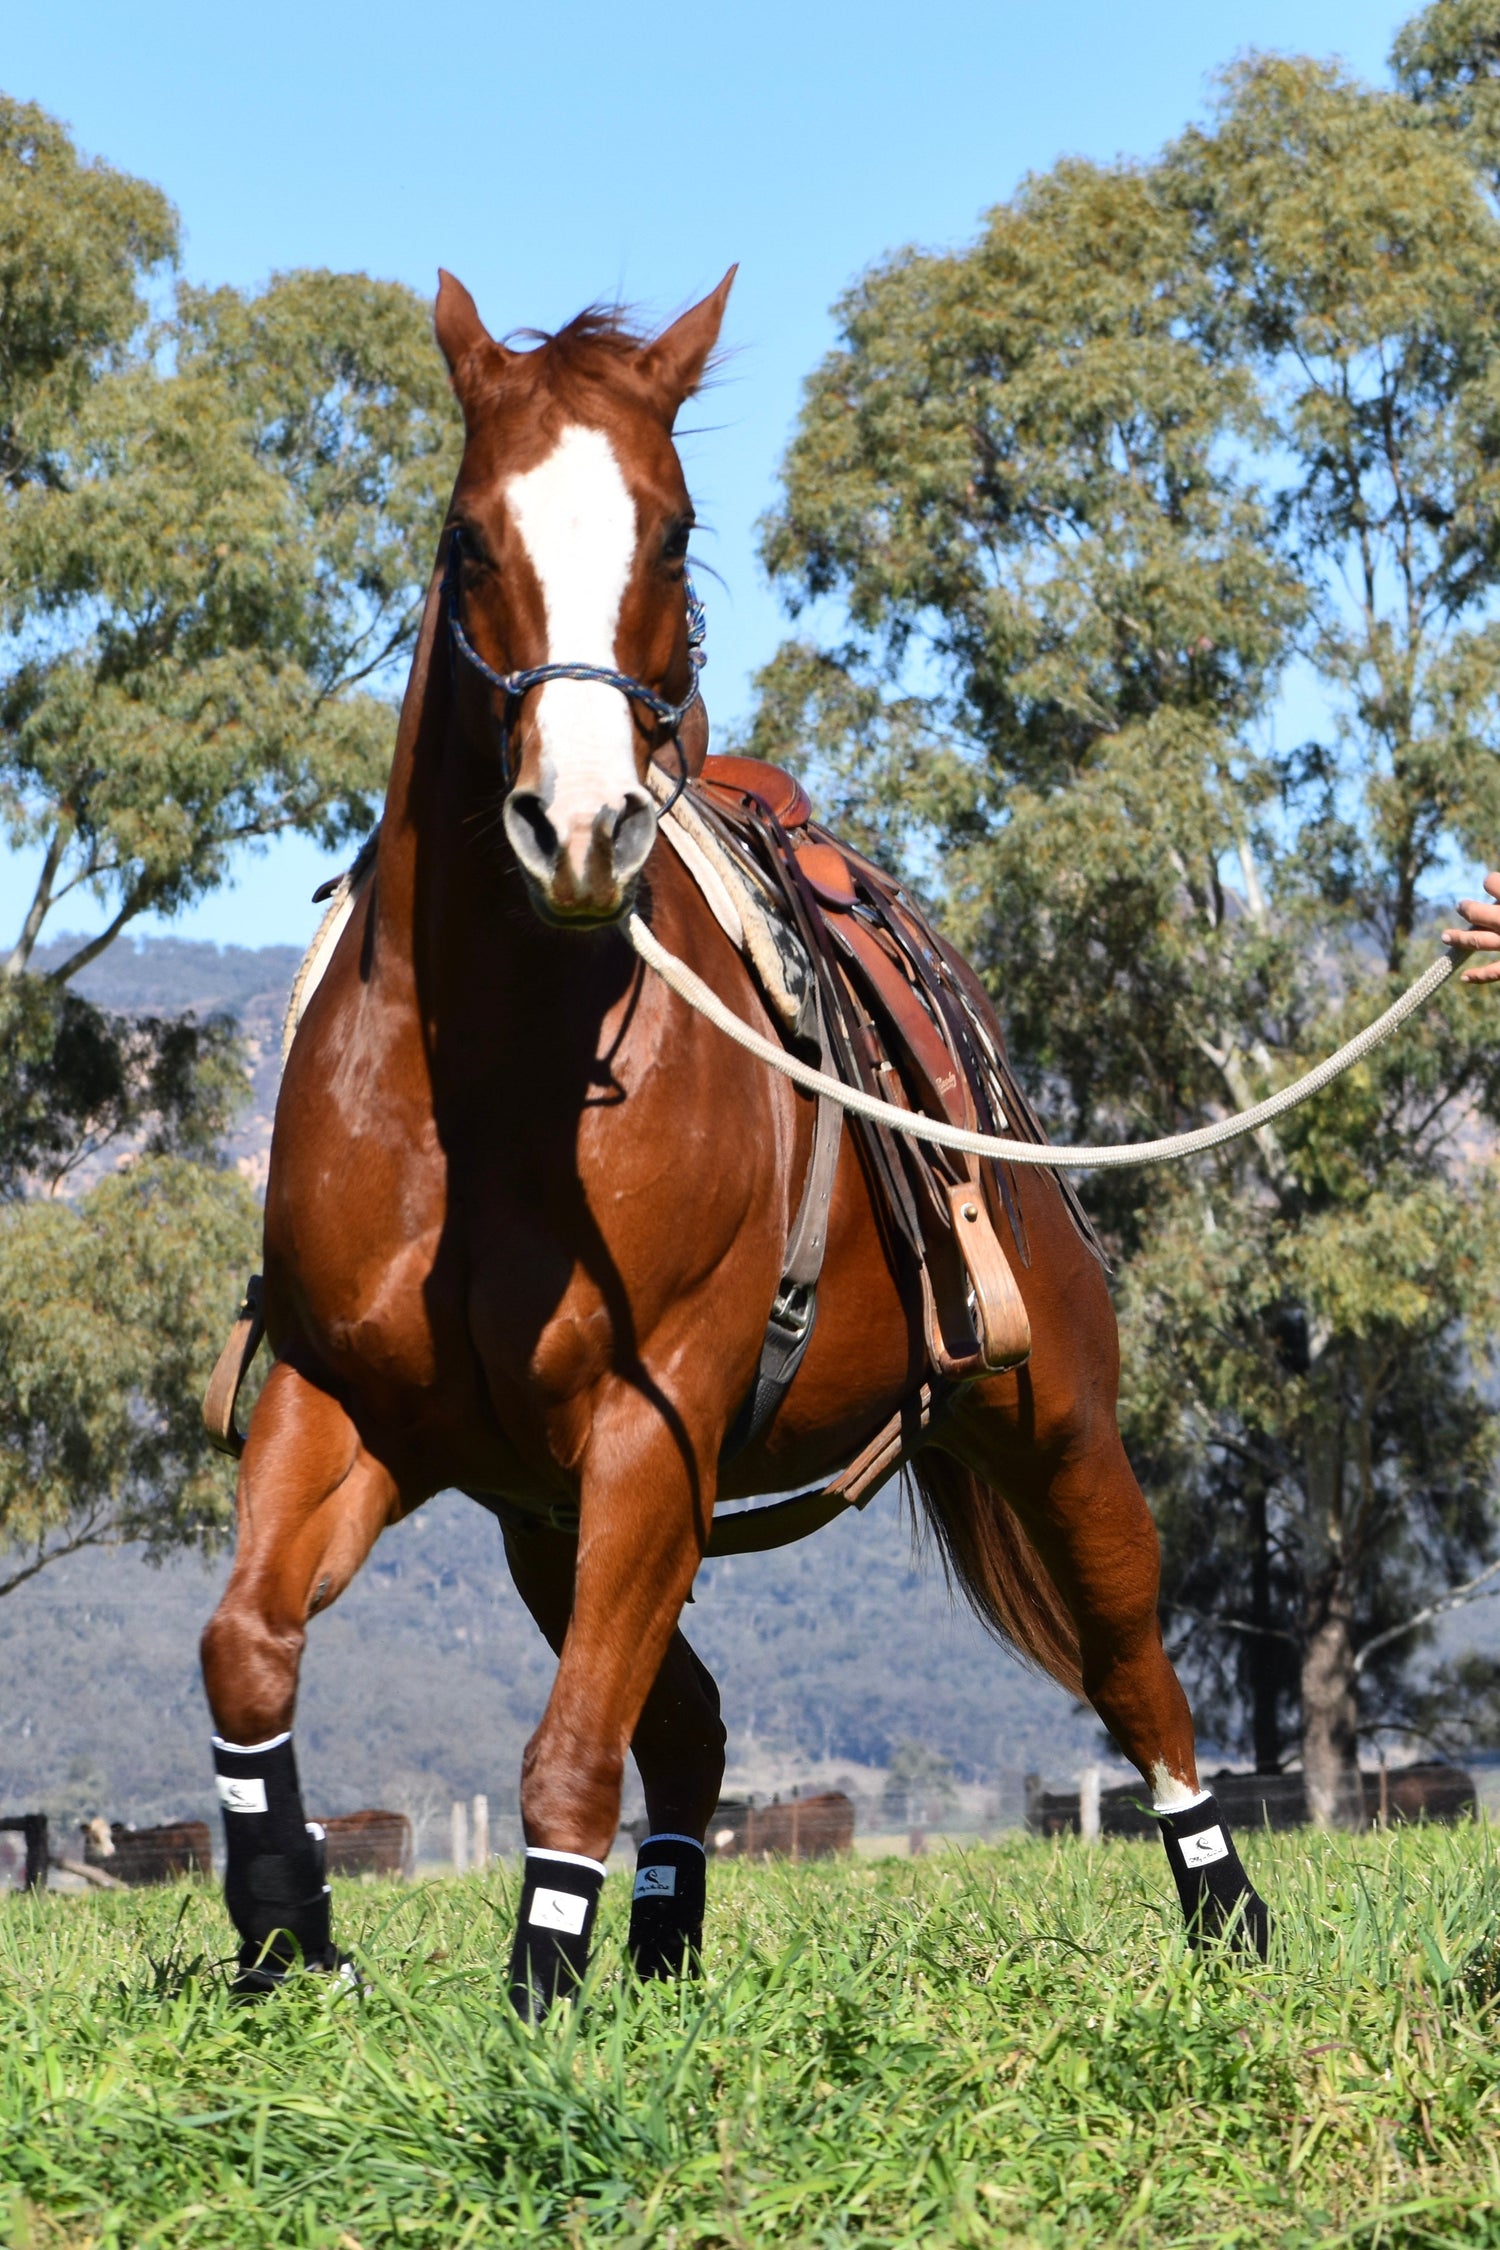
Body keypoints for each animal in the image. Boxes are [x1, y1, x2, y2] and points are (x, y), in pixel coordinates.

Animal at [199, 266, 1269, 2008]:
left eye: (676, 529)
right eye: (468, 535)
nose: (579, 827)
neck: (490, 1084)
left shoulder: (656, 1429)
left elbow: (569, 1750)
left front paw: (537, 1995)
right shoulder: (349, 1405)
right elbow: (246, 1649)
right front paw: (292, 1939)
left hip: (1055, 1427)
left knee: (1137, 1670)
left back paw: (1229, 1916)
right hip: (549, 1519)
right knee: (692, 1725)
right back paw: (662, 1939)